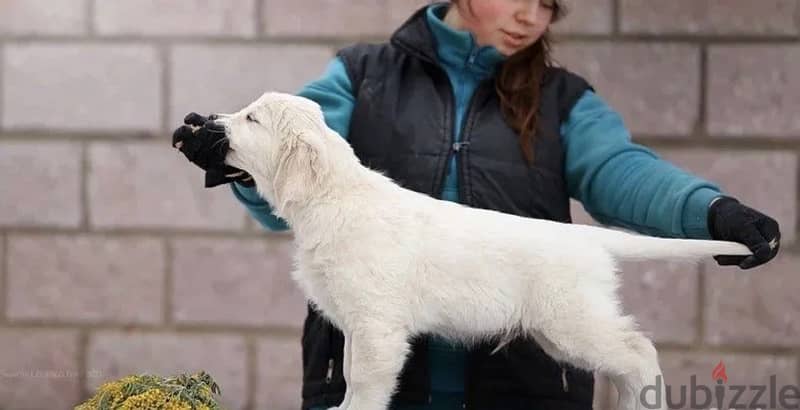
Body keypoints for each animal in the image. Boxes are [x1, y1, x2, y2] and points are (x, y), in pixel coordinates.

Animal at [212, 92, 752, 410]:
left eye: (252, 117)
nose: (210, 120)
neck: (334, 196)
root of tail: (587, 236)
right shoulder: (356, 323)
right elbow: (346, 374)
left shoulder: (377, 325)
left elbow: (364, 384)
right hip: (560, 331)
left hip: (573, 319)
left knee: (639, 351)